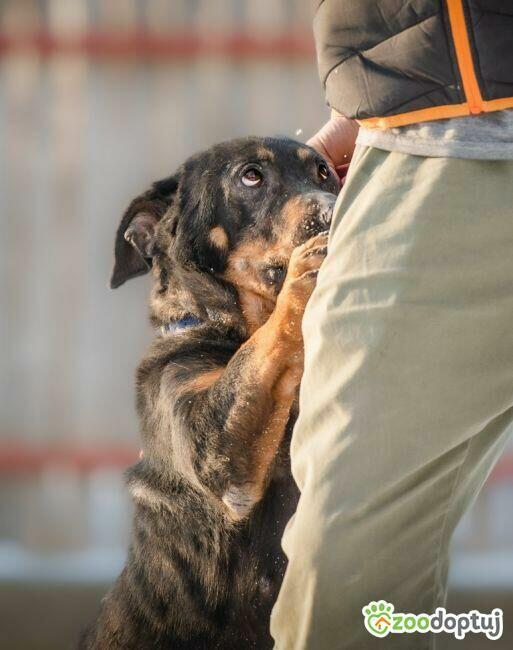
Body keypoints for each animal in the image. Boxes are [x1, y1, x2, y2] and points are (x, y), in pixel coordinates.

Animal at [80, 134, 338, 644]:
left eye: (324, 173)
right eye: (251, 176)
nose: (334, 206)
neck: (229, 326)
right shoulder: (215, 447)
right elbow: (266, 343)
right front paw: (308, 265)